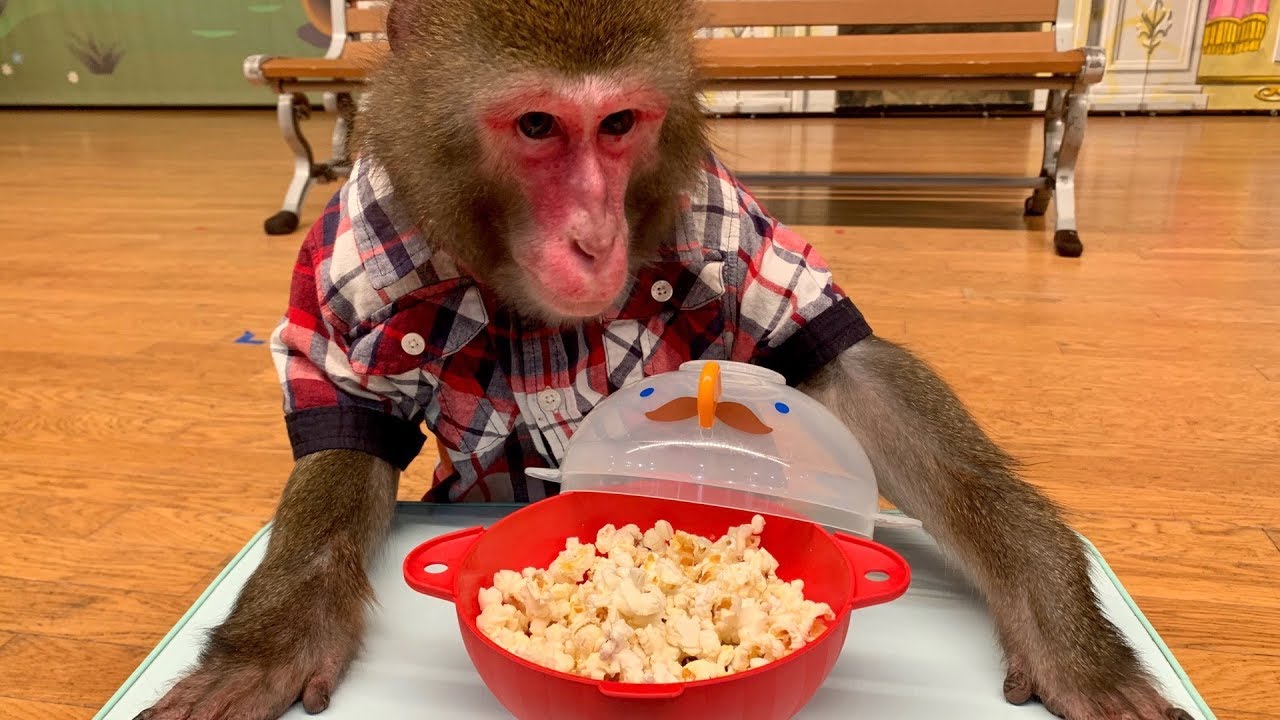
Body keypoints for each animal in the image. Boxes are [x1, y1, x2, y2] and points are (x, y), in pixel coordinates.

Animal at [135, 1, 1194, 719]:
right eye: (536, 125)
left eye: (618, 125)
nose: (597, 239)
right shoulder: (356, 249)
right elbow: (347, 423)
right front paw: (265, 646)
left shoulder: (710, 213)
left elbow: (847, 371)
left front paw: (1062, 627)